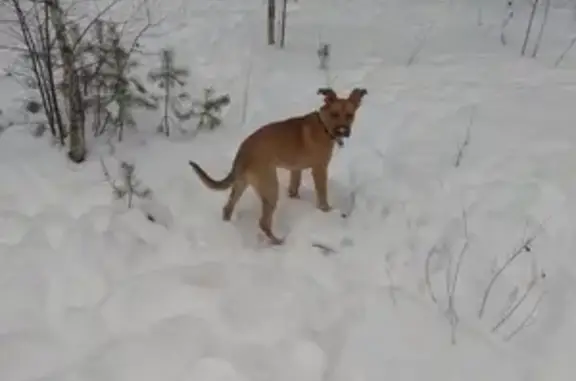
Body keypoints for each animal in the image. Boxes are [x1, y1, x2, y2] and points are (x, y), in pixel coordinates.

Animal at [190, 87, 368, 245]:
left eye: (350, 115)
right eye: (335, 114)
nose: (343, 131)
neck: (324, 125)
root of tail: (243, 151)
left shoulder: (296, 170)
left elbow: (294, 189)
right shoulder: (319, 169)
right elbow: (323, 196)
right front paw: (327, 212)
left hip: (241, 184)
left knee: (227, 208)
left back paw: (228, 229)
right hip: (270, 188)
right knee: (263, 222)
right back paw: (277, 241)